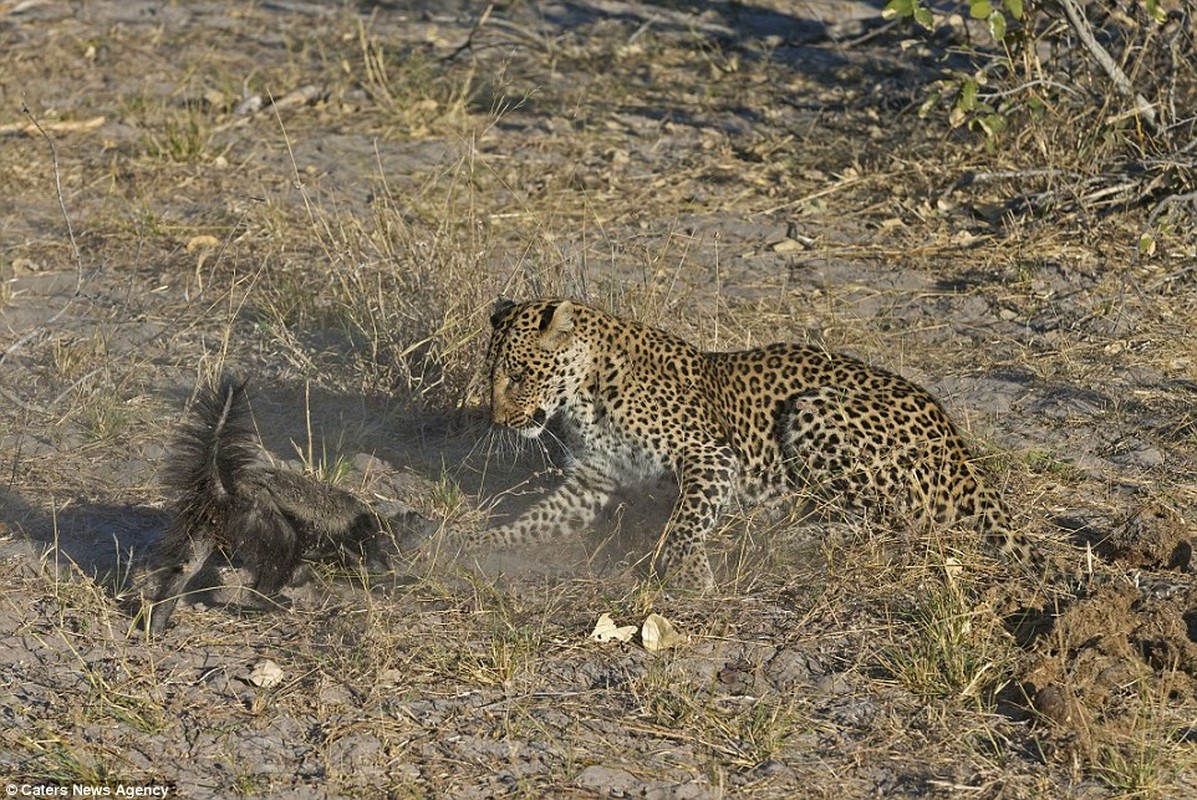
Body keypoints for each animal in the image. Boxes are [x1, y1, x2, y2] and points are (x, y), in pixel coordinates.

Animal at [471, 297, 1034, 591]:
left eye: (518, 376)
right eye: (492, 374)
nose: (497, 419)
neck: (583, 396)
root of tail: (958, 447)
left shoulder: (709, 455)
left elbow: (686, 520)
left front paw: (688, 573)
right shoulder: (591, 482)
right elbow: (532, 522)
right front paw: (470, 545)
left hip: (816, 407)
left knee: (891, 523)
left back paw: (785, 535)